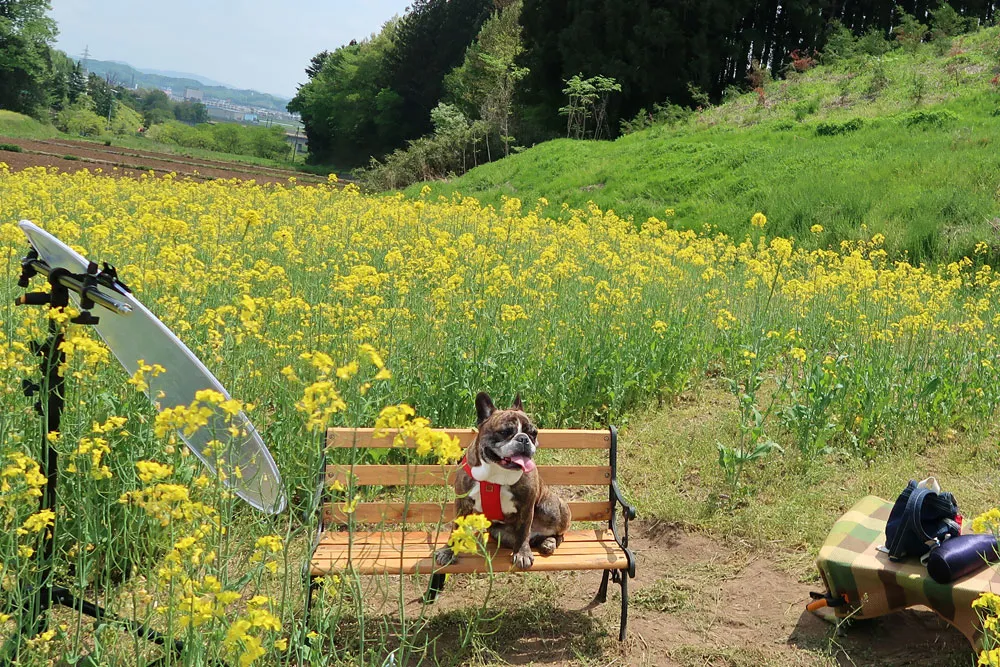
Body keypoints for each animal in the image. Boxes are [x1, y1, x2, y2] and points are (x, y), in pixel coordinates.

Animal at [436, 394, 572, 572]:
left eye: (533, 433)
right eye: (505, 432)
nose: (524, 439)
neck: (496, 472)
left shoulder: (527, 506)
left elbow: (523, 532)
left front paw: (522, 554)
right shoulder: (462, 502)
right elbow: (456, 529)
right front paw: (449, 551)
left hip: (552, 508)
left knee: (557, 534)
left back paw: (548, 543)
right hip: (498, 532)